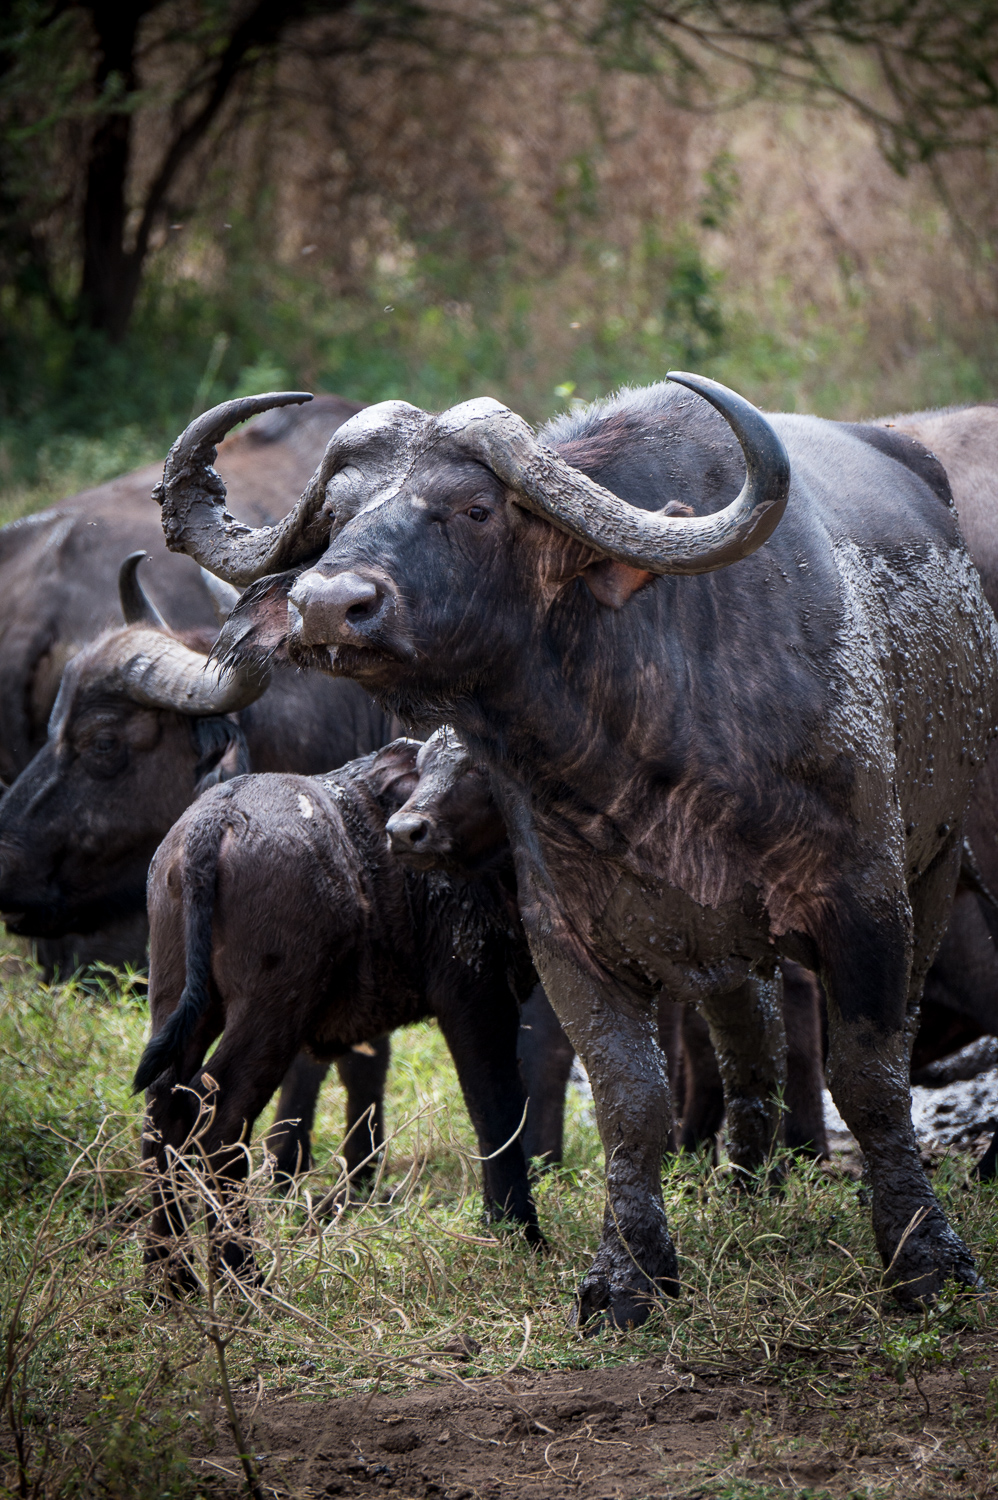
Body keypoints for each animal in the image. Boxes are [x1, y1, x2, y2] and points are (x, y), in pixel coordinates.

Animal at [153, 375, 996, 1326]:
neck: (652, 732)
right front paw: (628, 1276)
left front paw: (925, 1259)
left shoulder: (868, 902)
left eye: (475, 508)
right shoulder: (565, 937)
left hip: (937, 867)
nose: (329, 605)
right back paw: (748, 1189)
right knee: (750, 1049)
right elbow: (630, 1098)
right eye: (334, 514)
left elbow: (871, 1079)